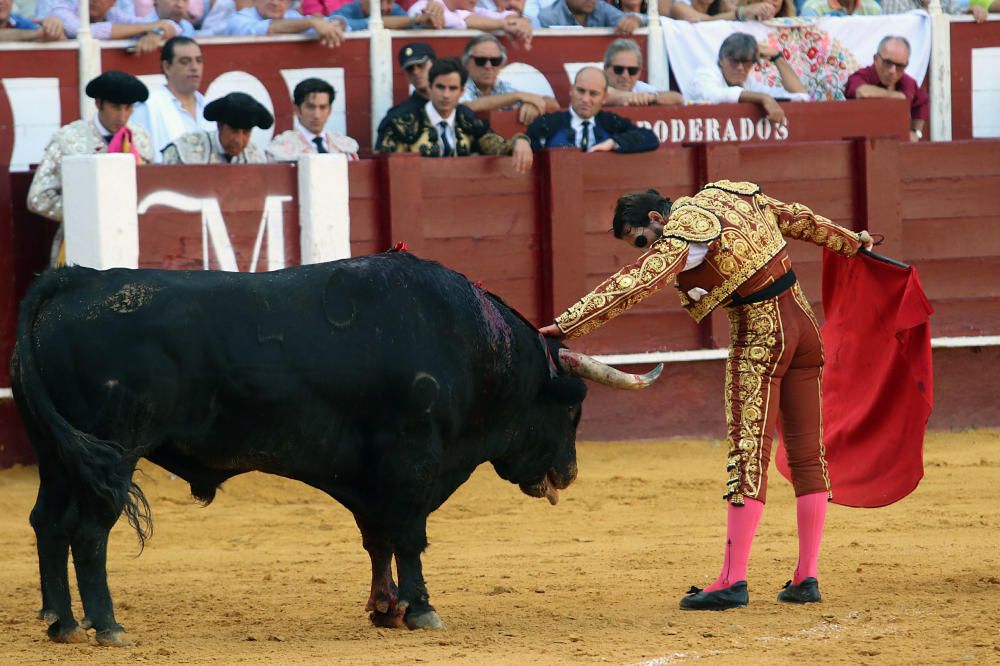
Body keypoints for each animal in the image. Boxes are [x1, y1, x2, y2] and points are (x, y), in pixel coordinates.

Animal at [11, 250, 664, 644]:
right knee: (88, 534)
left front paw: (385, 609)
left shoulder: (370, 476)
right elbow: (409, 537)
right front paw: (420, 609)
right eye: (574, 407)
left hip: (59, 456)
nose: (568, 473)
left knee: (48, 523)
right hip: (113, 453)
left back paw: (61, 622)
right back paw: (106, 625)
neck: (472, 347)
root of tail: (75, 277)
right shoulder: (411, 462)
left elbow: (378, 540)